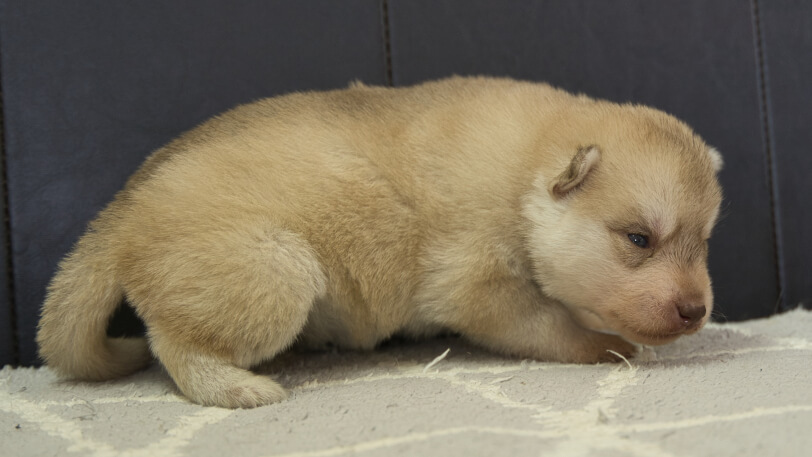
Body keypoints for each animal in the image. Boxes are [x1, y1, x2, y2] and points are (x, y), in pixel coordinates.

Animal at [36, 75, 724, 406]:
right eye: (639, 238)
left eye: (704, 241)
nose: (698, 311)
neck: (522, 176)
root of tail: (121, 212)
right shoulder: (478, 285)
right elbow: (552, 325)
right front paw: (607, 346)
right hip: (275, 270)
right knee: (174, 346)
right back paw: (237, 387)